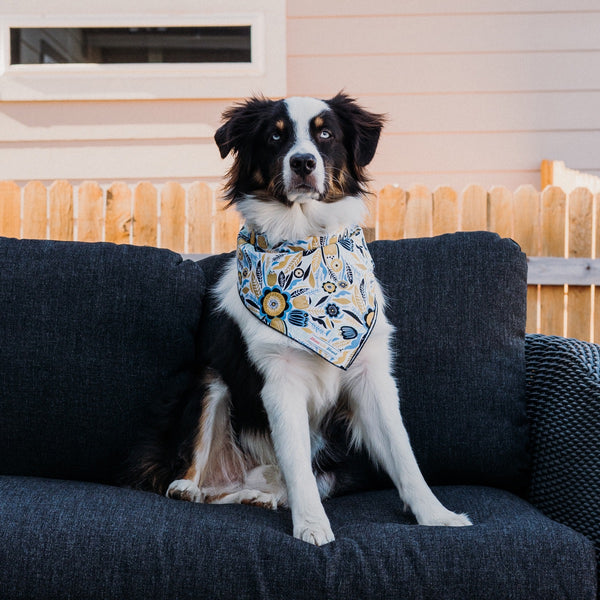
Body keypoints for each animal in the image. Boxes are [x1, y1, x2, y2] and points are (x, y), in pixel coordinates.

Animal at [127, 92, 474, 544]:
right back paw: (189, 487)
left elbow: (404, 455)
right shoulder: (280, 381)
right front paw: (312, 526)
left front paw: (437, 516)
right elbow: (296, 464)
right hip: (209, 382)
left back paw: (263, 496)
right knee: (198, 474)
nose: (303, 163)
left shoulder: (371, 376)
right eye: (275, 136)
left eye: (325, 134)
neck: (305, 240)